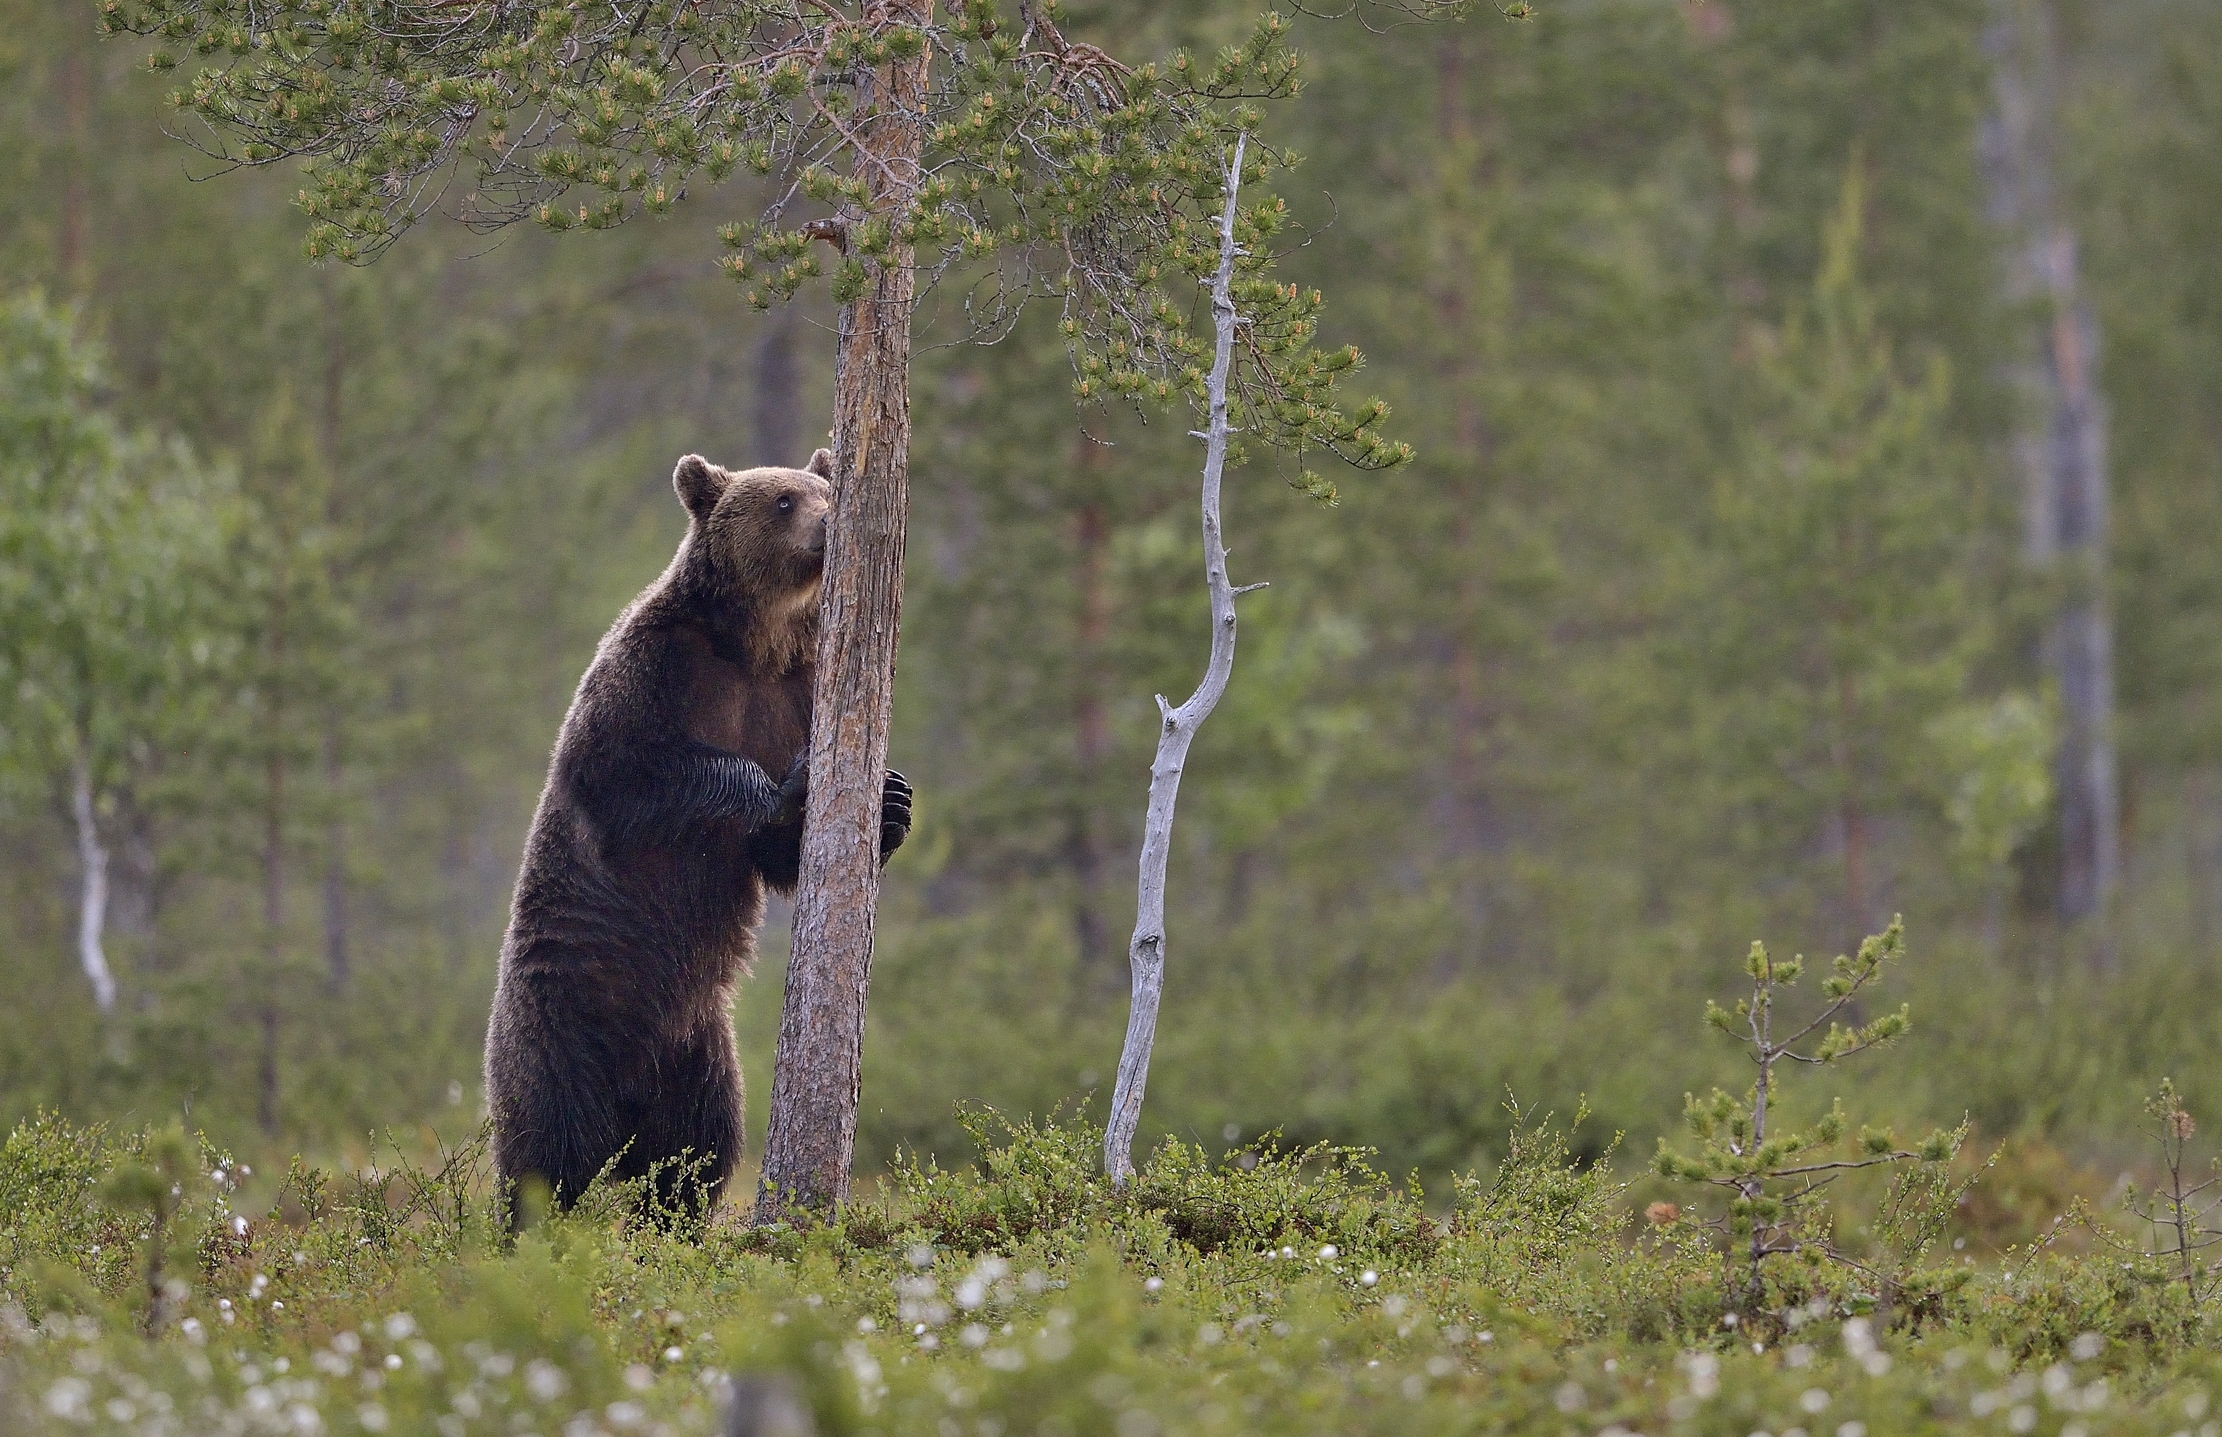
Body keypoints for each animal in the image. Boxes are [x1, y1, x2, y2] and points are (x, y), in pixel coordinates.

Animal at [484, 448, 911, 1225]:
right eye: (781, 500)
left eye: (824, 486)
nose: (830, 522)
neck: (754, 642)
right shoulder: (653, 669)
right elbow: (624, 769)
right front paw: (783, 785)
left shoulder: (793, 694)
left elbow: (782, 855)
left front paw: (892, 799)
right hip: (558, 1024)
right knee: (544, 1151)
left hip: (697, 1052)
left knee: (695, 1153)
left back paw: (673, 1221)